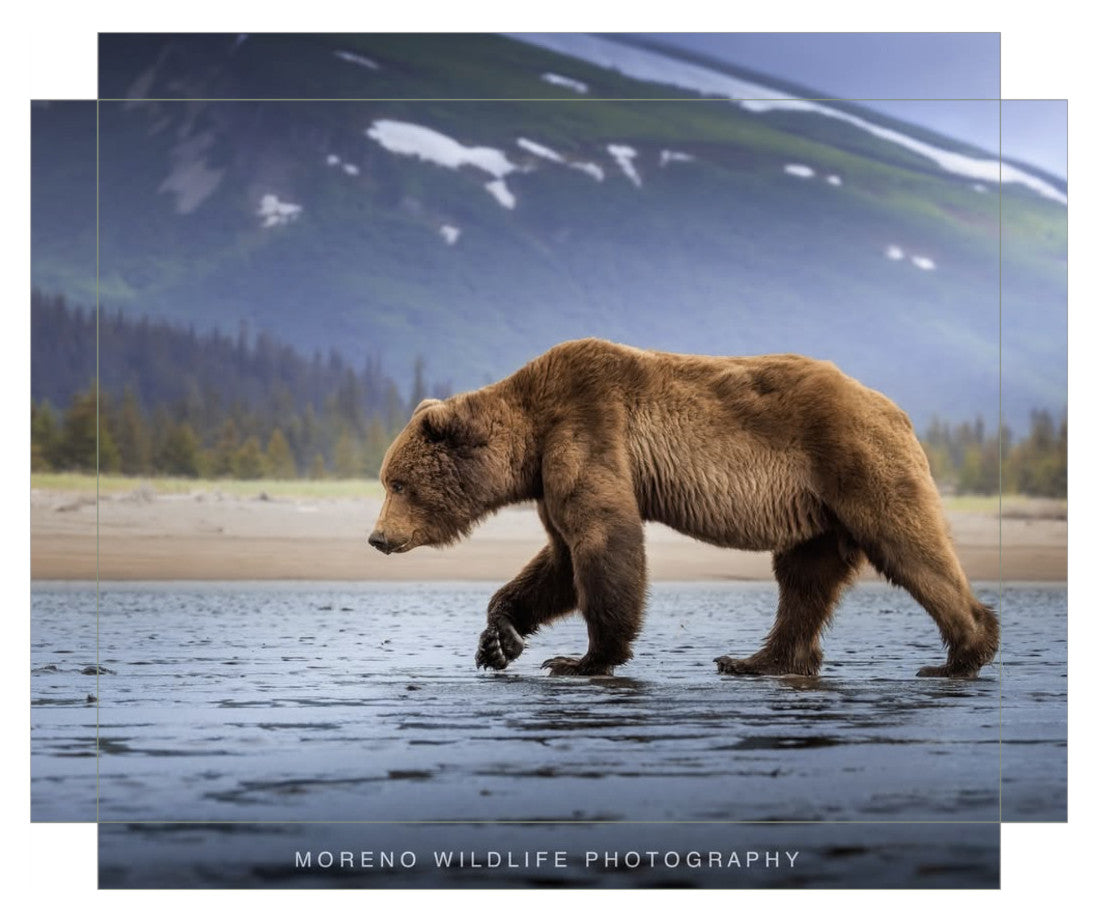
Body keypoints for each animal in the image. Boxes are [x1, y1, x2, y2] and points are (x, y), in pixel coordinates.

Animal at [368, 338, 999, 679]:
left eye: (397, 483)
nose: (376, 538)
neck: (530, 434)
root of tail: (895, 408)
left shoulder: (587, 427)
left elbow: (602, 541)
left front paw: (583, 658)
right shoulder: (550, 474)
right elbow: (559, 559)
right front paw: (499, 639)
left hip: (855, 463)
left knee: (908, 545)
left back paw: (963, 653)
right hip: (818, 510)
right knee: (804, 579)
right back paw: (757, 660)